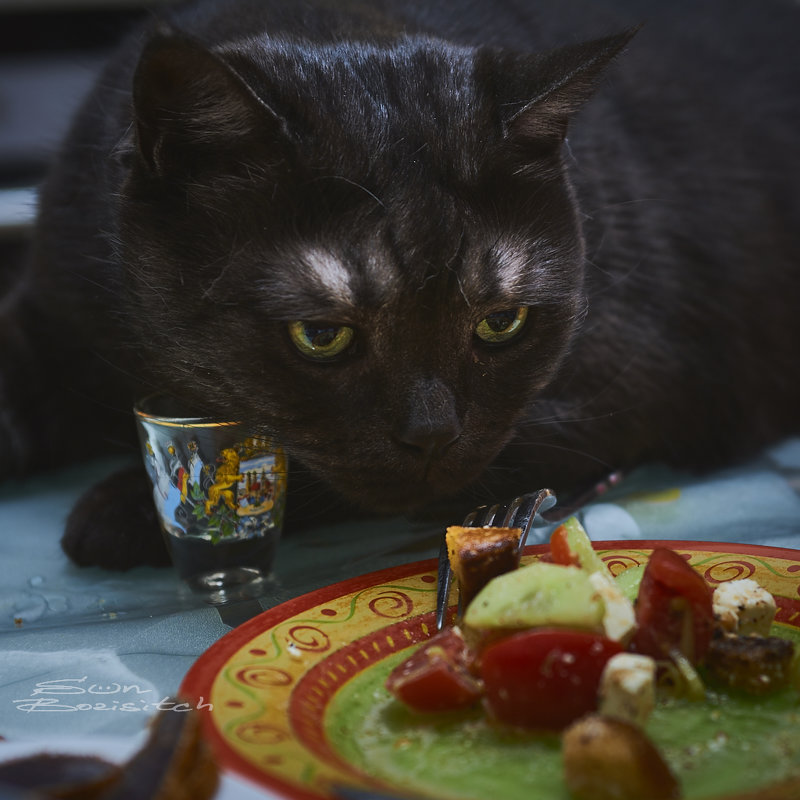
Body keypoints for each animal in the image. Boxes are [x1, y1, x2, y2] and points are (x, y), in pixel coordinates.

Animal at [1, 0, 800, 568]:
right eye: (321, 334)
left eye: (502, 322)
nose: (432, 434)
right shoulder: (50, 312)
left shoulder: (620, 396)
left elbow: (301, 473)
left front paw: (128, 510)